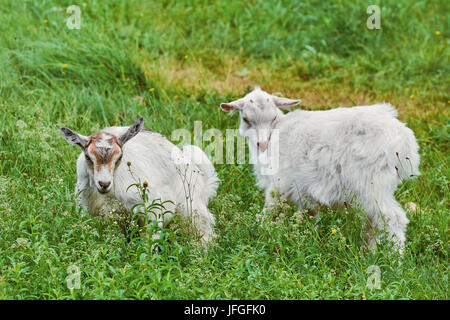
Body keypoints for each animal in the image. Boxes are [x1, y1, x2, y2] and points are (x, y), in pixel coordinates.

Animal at [60, 119, 219, 246]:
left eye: (119, 157)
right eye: (88, 156)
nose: (104, 184)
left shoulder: (151, 212)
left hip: (190, 207)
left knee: (203, 232)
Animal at [220, 87, 420, 252]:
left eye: (274, 117)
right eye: (246, 119)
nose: (261, 144)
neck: (277, 132)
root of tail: (405, 141)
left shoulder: (279, 184)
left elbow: (269, 212)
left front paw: (262, 234)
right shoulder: (305, 191)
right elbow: (308, 217)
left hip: (371, 183)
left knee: (393, 218)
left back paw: (395, 259)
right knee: (373, 221)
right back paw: (369, 252)